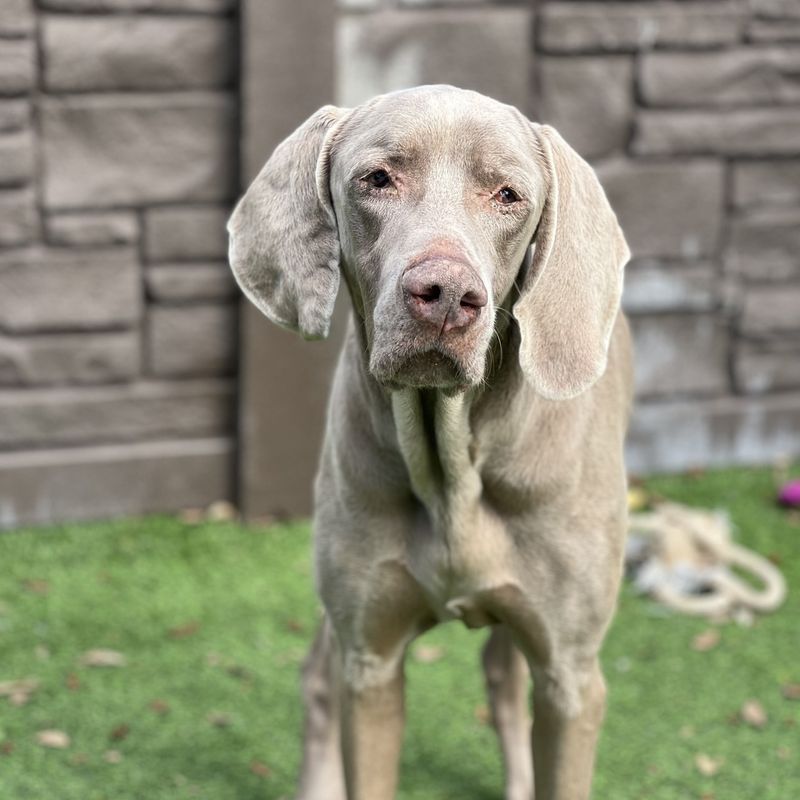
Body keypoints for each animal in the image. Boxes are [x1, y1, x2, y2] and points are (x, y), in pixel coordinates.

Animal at [227, 86, 632, 800]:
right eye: (377, 178)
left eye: (509, 195)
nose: (445, 296)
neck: (452, 464)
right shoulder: (372, 659)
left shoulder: (573, 676)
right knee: (320, 676)